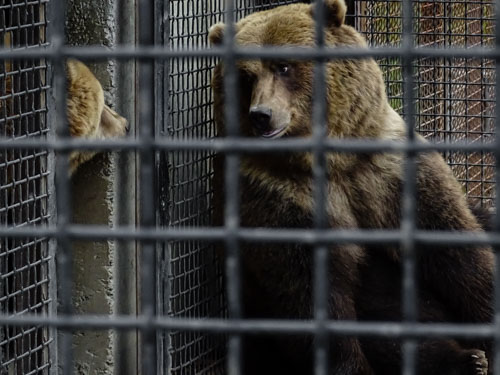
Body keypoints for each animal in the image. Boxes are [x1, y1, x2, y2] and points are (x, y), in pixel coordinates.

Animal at [209, 1, 494, 374]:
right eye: (245, 76)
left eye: (283, 66)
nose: (261, 115)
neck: (333, 163)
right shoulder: (281, 200)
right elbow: (311, 296)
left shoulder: (390, 171)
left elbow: (456, 252)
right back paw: (463, 360)